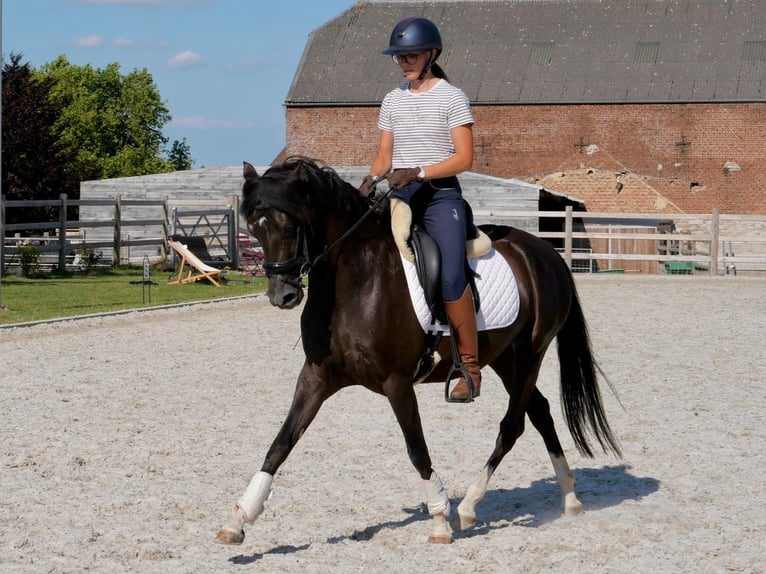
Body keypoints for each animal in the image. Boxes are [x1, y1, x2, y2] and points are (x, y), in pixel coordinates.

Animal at [216, 157, 621, 545]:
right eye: (255, 229)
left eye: (288, 228)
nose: (282, 295)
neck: (355, 281)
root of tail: (546, 252)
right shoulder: (316, 376)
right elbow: (281, 443)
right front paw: (238, 519)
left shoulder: (397, 382)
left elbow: (416, 449)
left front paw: (440, 520)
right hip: (506, 359)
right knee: (540, 413)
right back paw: (569, 497)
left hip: (531, 355)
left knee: (513, 425)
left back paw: (469, 506)